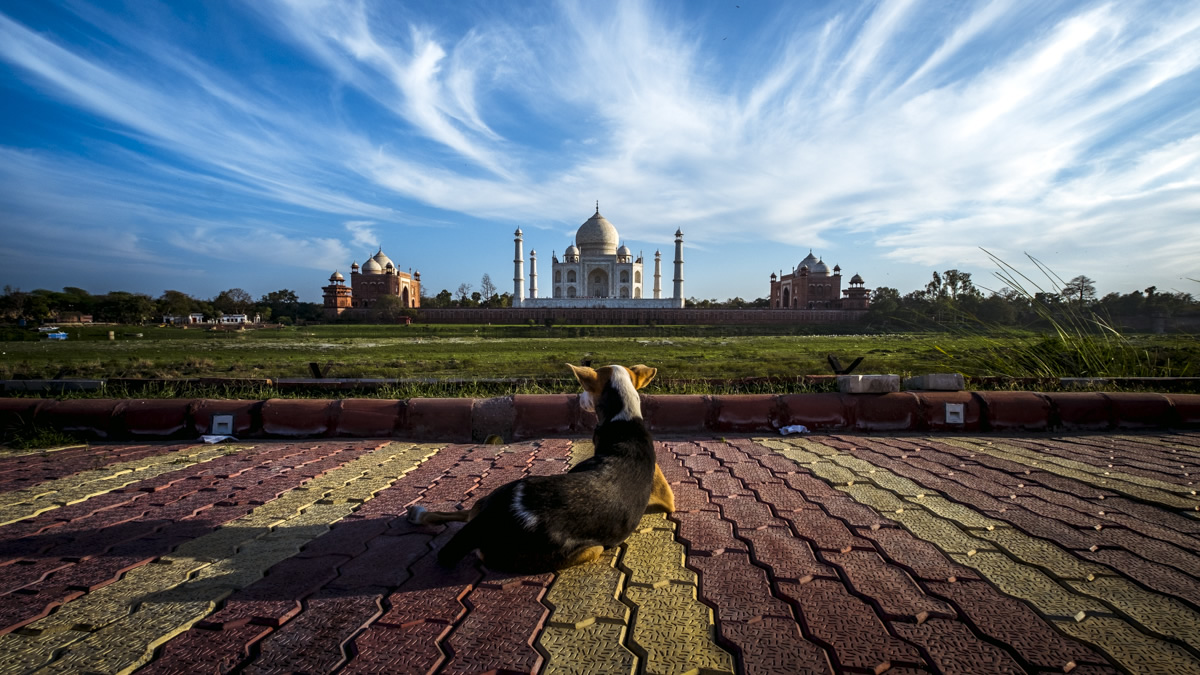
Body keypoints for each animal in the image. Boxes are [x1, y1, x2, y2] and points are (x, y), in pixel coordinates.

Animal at [408, 360, 676, 569]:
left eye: (585, 389)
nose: (579, 399)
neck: (624, 419)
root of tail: (499, 518)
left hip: (586, 546)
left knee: (464, 516)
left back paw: (419, 513)